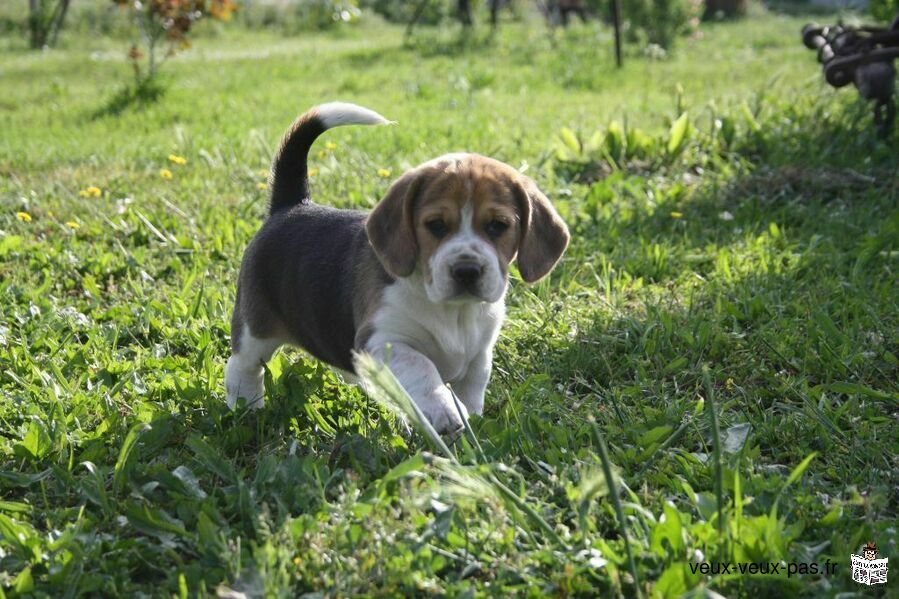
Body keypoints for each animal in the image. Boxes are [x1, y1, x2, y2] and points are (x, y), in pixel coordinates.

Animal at [229, 102, 572, 432]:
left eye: (498, 226)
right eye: (436, 225)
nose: (467, 270)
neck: (452, 311)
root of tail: (291, 205)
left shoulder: (479, 352)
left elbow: (473, 385)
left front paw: (467, 420)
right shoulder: (380, 340)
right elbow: (423, 367)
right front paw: (444, 410)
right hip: (255, 328)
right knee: (242, 367)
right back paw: (245, 410)